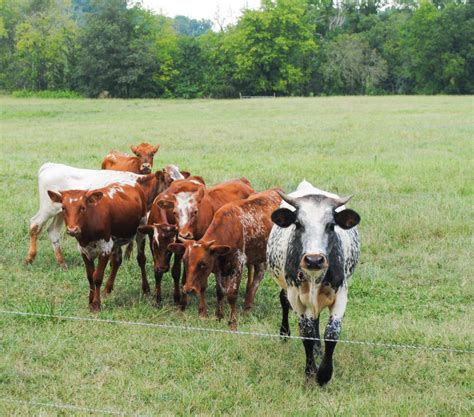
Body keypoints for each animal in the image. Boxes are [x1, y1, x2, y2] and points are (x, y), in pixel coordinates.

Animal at [169, 188, 284, 328]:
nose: (189, 289)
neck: (229, 230)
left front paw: (232, 322)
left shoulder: (238, 264)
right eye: (185, 261)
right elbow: (220, 291)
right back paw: (247, 307)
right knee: (258, 275)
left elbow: (231, 294)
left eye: (203, 264)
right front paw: (219, 316)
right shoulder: (219, 266)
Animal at [266, 180, 360, 386]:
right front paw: (310, 374)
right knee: (284, 301)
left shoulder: (341, 294)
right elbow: (306, 333)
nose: (314, 260)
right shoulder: (297, 297)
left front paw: (324, 374)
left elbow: (332, 333)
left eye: (331, 225)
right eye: (298, 224)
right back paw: (285, 334)